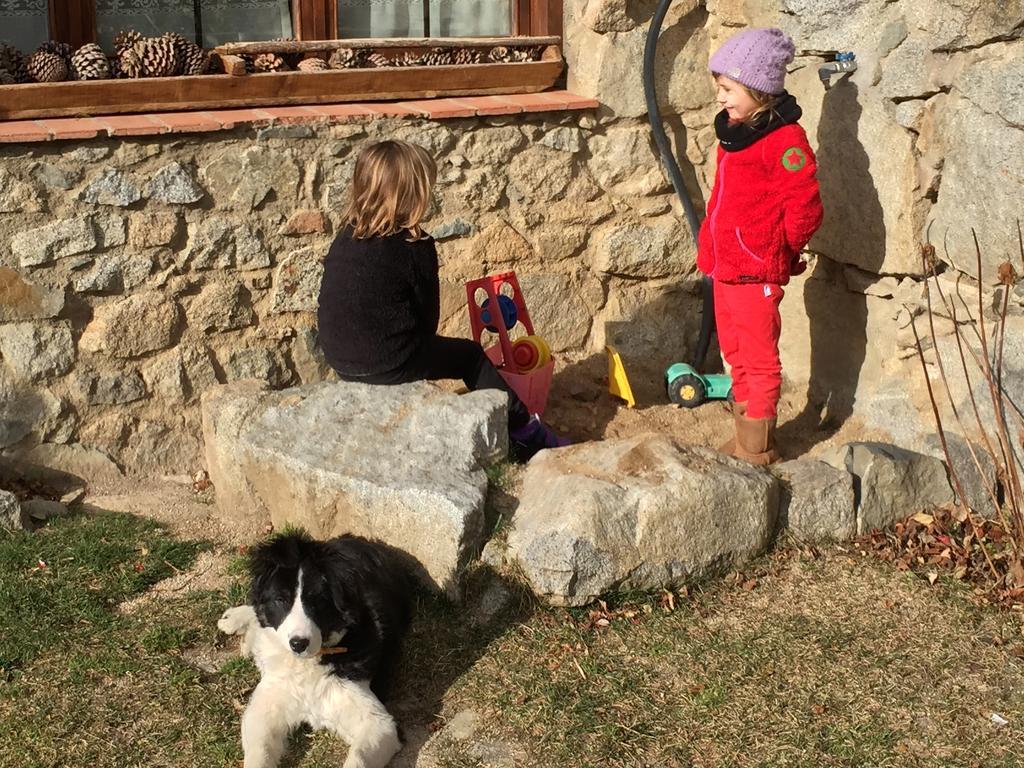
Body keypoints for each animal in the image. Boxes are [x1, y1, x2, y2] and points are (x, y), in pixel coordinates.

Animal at [218, 532, 413, 768]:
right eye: (281, 600)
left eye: (317, 602)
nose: (298, 643)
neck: (307, 664)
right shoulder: (264, 707)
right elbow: (259, 753)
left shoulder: (379, 724)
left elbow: (359, 757)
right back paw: (234, 620)